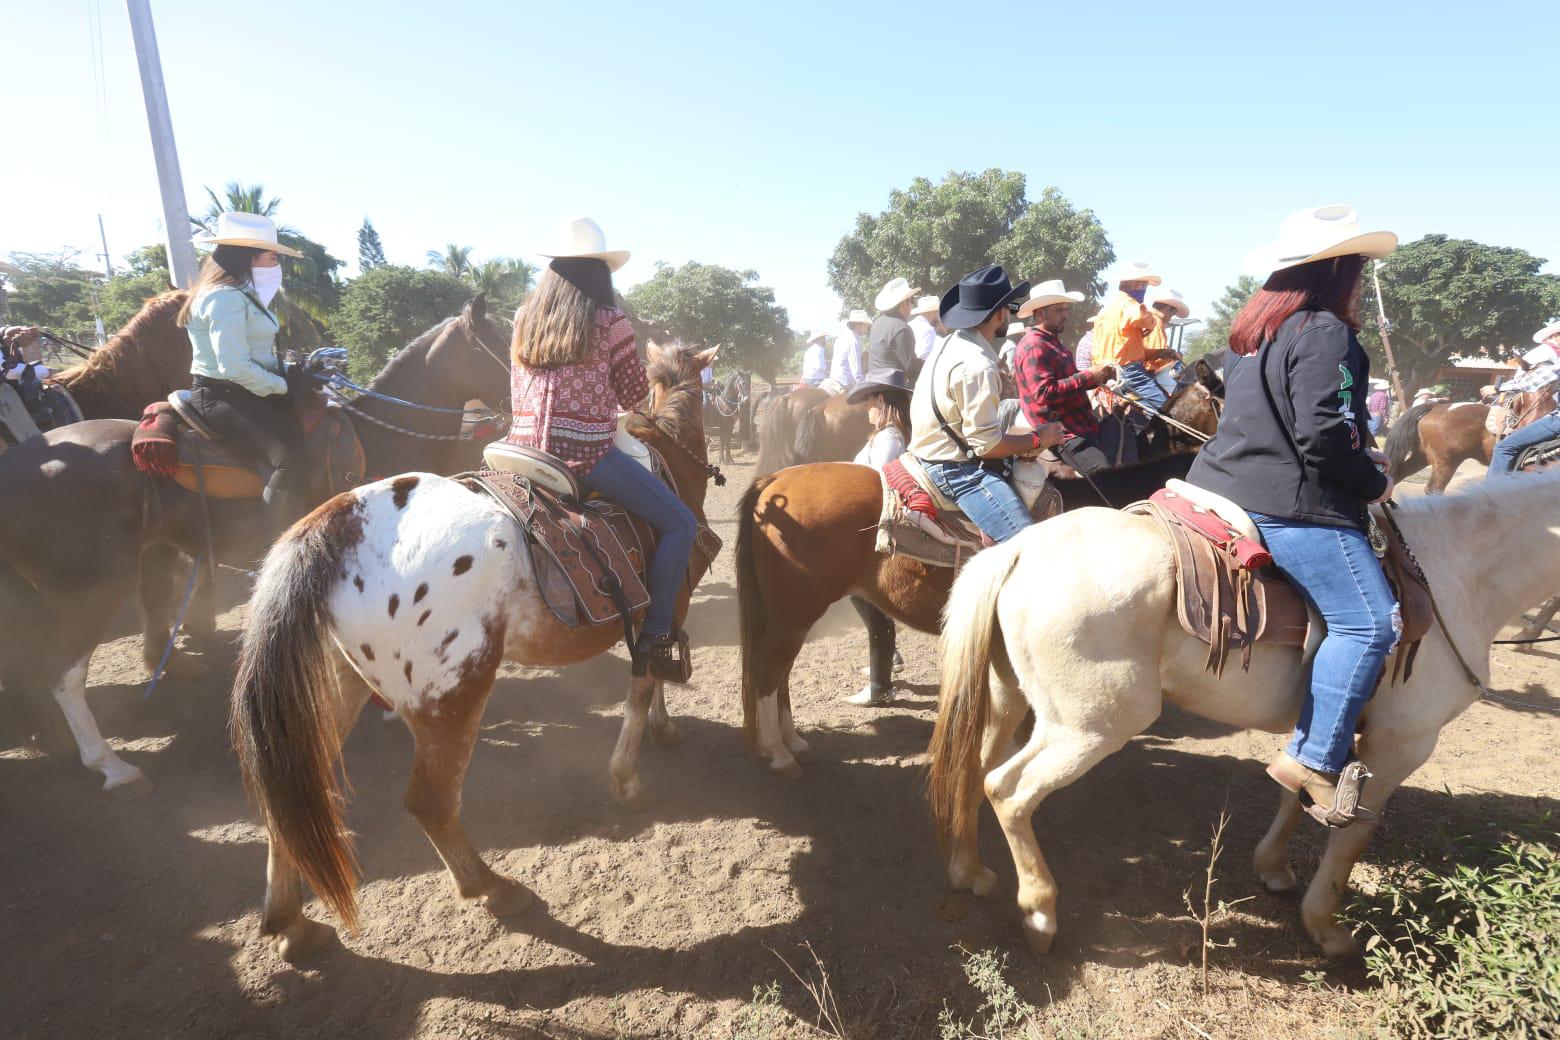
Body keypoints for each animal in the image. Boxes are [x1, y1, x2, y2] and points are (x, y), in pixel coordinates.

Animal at [229, 341, 723, 960]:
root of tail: (334, 523)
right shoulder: (666, 607)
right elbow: (643, 683)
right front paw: (630, 778)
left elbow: (649, 684)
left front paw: (662, 730)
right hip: (452, 698)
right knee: (431, 803)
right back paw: (493, 888)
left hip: (333, 690)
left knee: (292, 796)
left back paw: (291, 923)